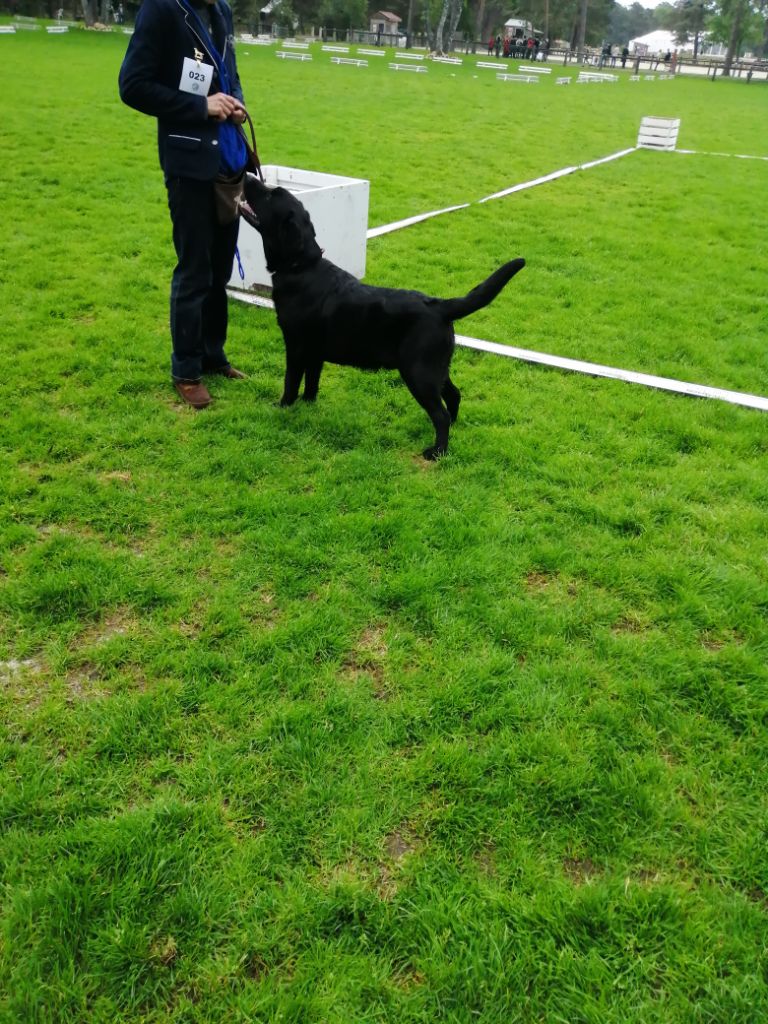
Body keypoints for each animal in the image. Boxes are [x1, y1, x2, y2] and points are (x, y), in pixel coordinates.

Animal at [240, 176, 528, 460]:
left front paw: (282, 407)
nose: (248, 176)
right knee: (454, 396)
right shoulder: (315, 352)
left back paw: (437, 452)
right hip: (436, 368)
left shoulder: (296, 346)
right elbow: (311, 383)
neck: (301, 268)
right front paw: (308, 405)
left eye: (270, 194)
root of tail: (440, 306)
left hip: (418, 373)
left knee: (441, 414)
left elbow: (290, 382)